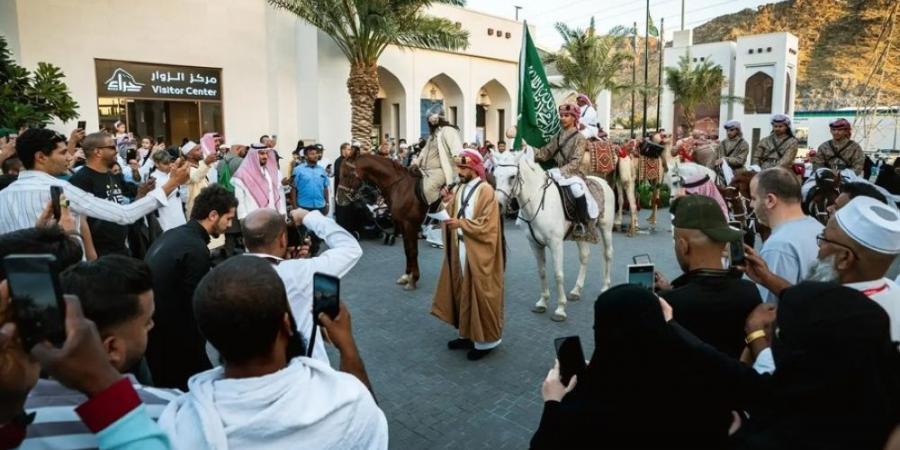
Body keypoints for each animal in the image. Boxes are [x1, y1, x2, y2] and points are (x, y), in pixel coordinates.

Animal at [336, 153, 428, 290]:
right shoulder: (404, 225)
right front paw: (407, 276)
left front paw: (414, 279)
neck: (401, 187)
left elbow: (413, 251)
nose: (338, 198)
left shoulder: (411, 225)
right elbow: (407, 250)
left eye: (348, 174)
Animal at [496, 149, 616, 322]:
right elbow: (542, 272)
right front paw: (542, 302)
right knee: (585, 256)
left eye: (512, 176)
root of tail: (604, 182)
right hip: (581, 235)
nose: (498, 204)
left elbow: (558, 275)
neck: (538, 202)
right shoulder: (535, 244)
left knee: (607, 254)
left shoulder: (555, 243)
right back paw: (576, 290)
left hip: (606, 229)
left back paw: (605, 286)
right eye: (495, 174)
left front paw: (560, 309)